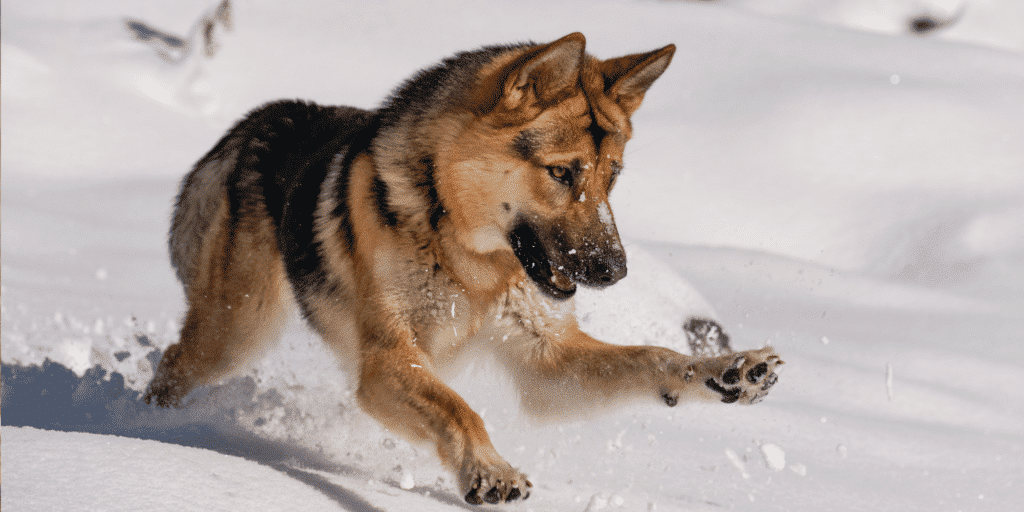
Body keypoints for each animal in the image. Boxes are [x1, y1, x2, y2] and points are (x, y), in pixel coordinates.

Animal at [144, 33, 782, 503]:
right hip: (237, 333)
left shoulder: (546, 362)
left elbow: (654, 358)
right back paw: (152, 431)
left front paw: (731, 370)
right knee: (172, 364)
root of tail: (255, 121)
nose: (616, 271)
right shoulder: (387, 362)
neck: (468, 259)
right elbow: (460, 408)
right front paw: (489, 471)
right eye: (561, 172)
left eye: (613, 176)